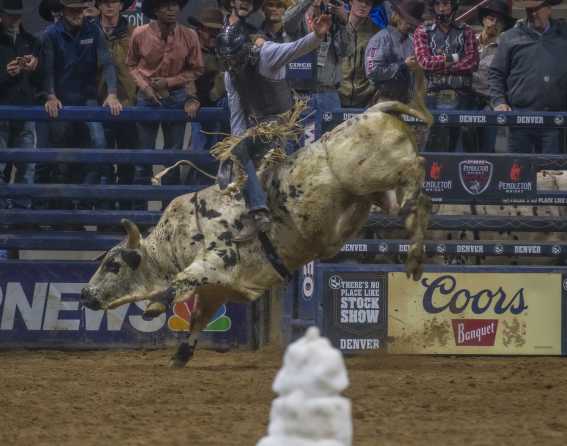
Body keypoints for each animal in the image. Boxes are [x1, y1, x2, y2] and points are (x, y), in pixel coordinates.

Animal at [81, 100, 430, 366]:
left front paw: (155, 306)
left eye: (113, 265)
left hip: (374, 175)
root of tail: (373, 110)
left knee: (417, 173)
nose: (84, 294)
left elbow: (178, 284)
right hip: (376, 195)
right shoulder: (217, 287)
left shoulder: (217, 259)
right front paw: (180, 354)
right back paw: (414, 255)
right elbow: (198, 316)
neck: (172, 243)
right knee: (411, 204)